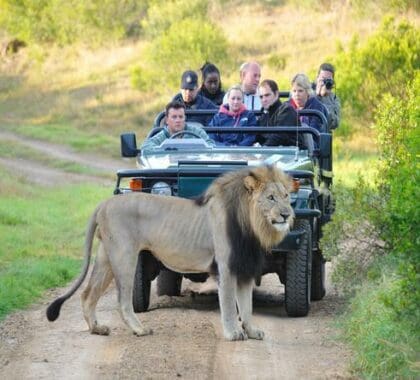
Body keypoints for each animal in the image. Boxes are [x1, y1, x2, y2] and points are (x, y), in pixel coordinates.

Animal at [46, 166, 294, 342]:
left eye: (286, 196)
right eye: (271, 198)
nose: (287, 214)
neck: (253, 226)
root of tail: (105, 203)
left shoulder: (243, 268)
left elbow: (247, 306)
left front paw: (252, 331)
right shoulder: (225, 267)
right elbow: (229, 305)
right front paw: (233, 333)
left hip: (107, 256)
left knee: (88, 294)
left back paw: (97, 329)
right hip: (125, 255)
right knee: (122, 301)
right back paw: (139, 329)